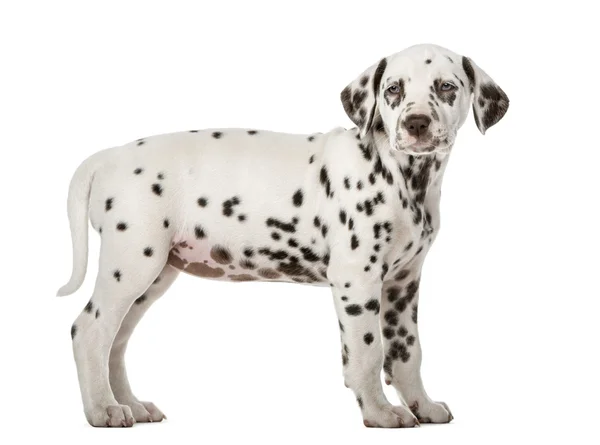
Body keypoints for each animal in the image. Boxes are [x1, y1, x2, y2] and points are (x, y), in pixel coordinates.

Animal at [57, 42, 506, 426]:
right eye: (393, 89)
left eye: (446, 87)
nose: (416, 124)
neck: (403, 177)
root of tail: (108, 157)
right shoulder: (357, 281)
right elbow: (367, 353)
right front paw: (379, 413)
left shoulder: (403, 284)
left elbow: (406, 352)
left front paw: (422, 406)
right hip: (131, 265)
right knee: (89, 332)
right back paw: (103, 410)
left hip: (152, 277)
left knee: (115, 342)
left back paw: (128, 404)